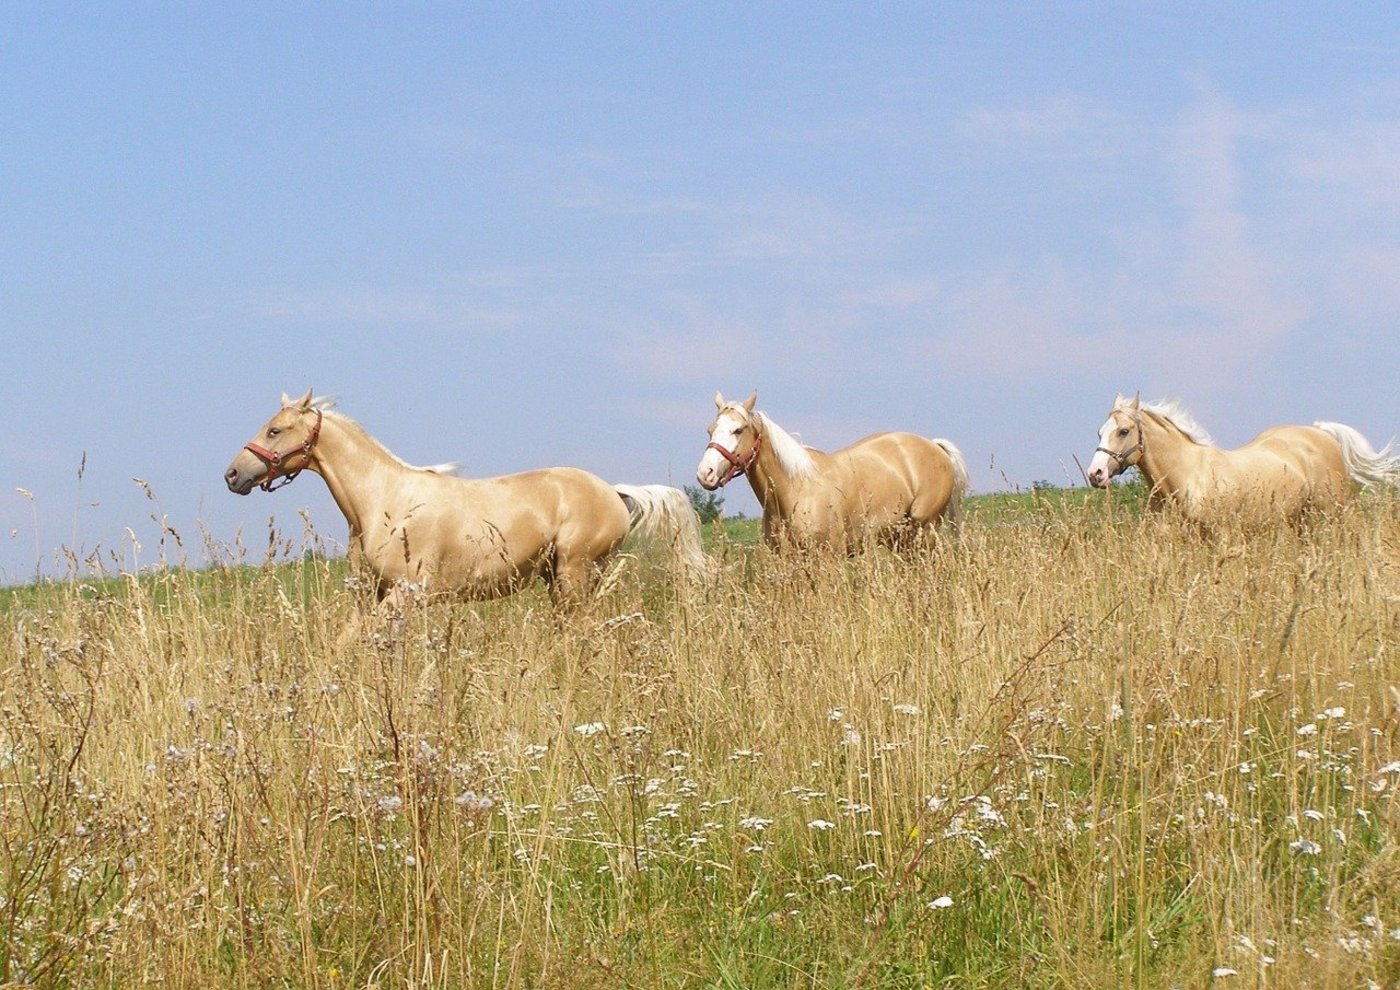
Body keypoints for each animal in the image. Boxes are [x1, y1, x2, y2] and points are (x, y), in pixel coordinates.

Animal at [224, 391, 707, 607]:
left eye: (274, 430)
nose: (232, 475)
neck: (383, 503)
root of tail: (614, 491)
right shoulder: (377, 596)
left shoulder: (406, 594)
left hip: (575, 573)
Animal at [694, 390, 968, 551]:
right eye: (710, 430)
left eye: (738, 430)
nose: (705, 473)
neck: (794, 490)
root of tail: (935, 446)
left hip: (924, 531)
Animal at [1085, 394, 1400, 524]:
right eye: (1099, 432)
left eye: (1124, 431)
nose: (1095, 474)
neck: (1185, 476)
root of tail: (1321, 432)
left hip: (1332, 514)